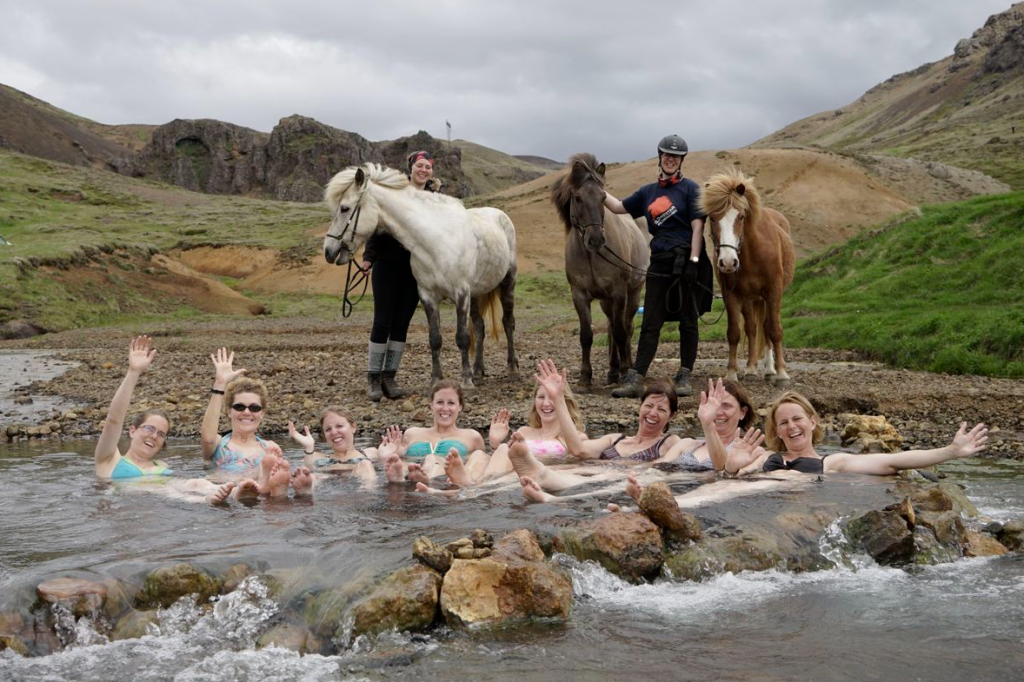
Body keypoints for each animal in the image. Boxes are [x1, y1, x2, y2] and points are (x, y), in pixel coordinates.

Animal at [323, 162, 520, 385]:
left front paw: (466, 381)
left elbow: (462, 338)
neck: (436, 240)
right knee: (479, 328)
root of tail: (499, 215)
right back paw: (478, 371)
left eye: (344, 208)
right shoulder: (428, 296)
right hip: (476, 294)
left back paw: (512, 368)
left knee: (508, 323)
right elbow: (435, 339)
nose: (328, 251)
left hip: (507, 283)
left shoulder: (461, 294)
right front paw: (436, 380)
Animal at [552, 155, 647, 387]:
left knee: (626, 327)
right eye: (577, 198)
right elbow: (587, 335)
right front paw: (585, 377)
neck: (591, 256)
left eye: (603, 197)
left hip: (632, 293)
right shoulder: (579, 295)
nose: (596, 240)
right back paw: (612, 370)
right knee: (612, 327)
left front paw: (625, 371)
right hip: (606, 301)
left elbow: (621, 332)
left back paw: (626, 366)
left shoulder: (619, 293)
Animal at [700, 167, 794, 385]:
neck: (752, 253)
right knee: (752, 328)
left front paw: (782, 373)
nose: (727, 262)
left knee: (767, 329)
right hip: (750, 300)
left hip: (765, 298)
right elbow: (734, 333)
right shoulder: (732, 295)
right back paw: (751, 368)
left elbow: (775, 330)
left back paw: (770, 370)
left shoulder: (774, 291)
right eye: (713, 218)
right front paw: (732, 373)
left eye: (741, 216)